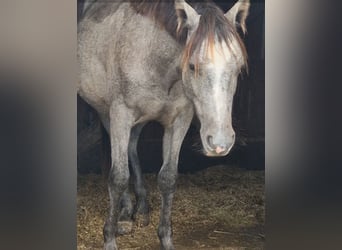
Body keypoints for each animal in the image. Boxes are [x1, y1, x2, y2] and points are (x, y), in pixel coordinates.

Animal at [77, 0, 248, 249]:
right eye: (192, 66)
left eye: (239, 67)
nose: (220, 143)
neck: (154, 60)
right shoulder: (121, 114)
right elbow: (118, 177)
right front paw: (109, 238)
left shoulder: (179, 120)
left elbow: (168, 178)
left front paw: (166, 238)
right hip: (107, 113)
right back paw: (125, 213)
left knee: (132, 147)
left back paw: (139, 209)